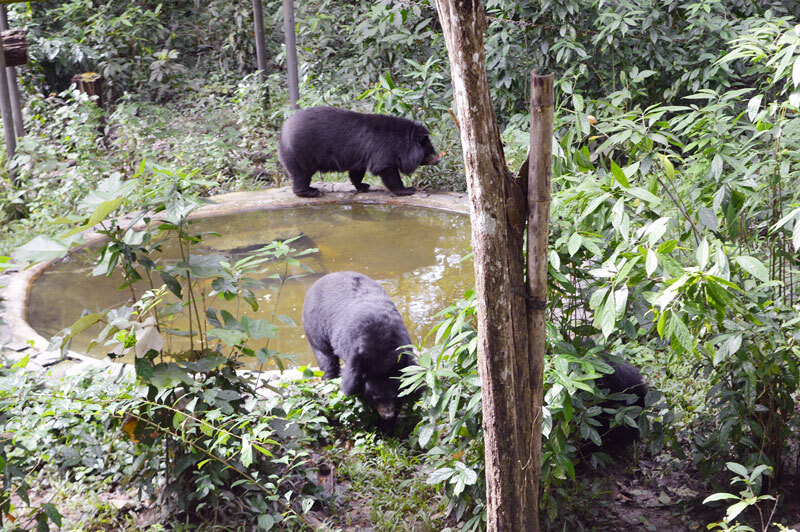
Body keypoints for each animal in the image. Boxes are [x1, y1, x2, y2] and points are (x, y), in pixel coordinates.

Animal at [276, 106, 440, 197]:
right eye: (430, 150)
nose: (438, 160)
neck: (404, 142)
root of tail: (283, 130)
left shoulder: (359, 155)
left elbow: (356, 172)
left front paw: (363, 186)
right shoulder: (385, 149)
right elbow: (386, 169)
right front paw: (407, 190)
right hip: (299, 152)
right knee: (301, 174)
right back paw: (310, 192)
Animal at [302, 272, 418, 426]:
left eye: (394, 396)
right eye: (375, 398)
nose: (387, 415)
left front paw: (388, 426)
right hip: (315, 328)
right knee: (326, 360)